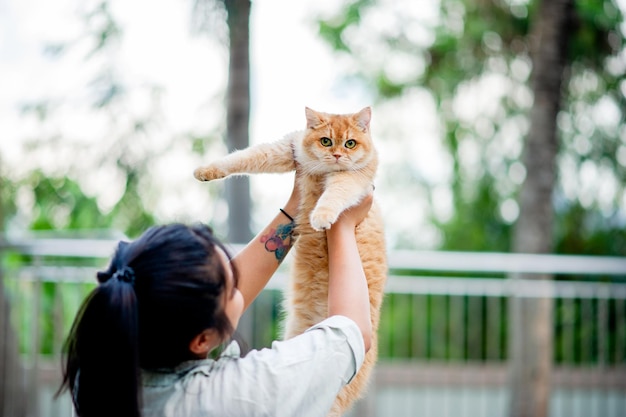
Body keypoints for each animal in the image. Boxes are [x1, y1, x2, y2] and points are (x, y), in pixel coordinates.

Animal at [193, 107, 386, 416]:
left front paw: (321, 216)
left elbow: (335, 193)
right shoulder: (284, 150)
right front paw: (206, 171)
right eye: (326, 141)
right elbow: (242, 157)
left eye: (350, 143)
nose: (337, 155)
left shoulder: (353, 179)